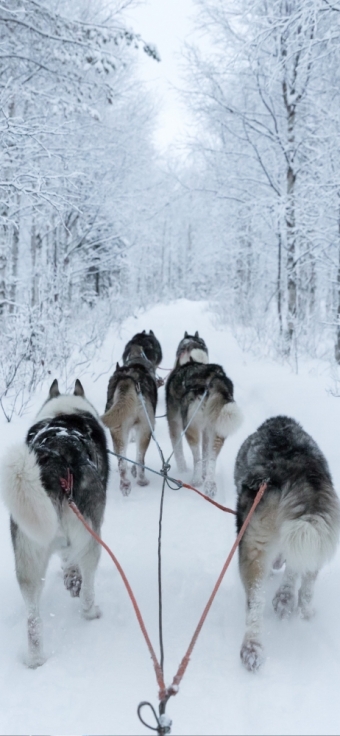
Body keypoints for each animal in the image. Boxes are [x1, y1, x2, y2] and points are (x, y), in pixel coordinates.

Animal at [0, 380, 108, 668]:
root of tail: (56, 459)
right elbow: (71, 561)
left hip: (27, 557)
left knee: (33, 618)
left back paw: (35, 658)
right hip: (91, 539)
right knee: (88, 588)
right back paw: (91, 612)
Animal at [102, 348, 158, 498]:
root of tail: (128, 380)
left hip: (117, 428)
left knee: (122, 461)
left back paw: (125, 484)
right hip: (145, 429)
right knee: (140, 458)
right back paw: (142, 480)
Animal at [167, 336, 242, 498]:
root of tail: (212, 377)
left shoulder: (174, 424)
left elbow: (178, 451)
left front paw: (182, 469)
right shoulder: (207, 430)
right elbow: (206, 455)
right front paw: (204, 474)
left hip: (190, 426)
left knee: (196, 456)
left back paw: (196, 480)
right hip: (217, 428)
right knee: (212, 457)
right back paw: (209, 484)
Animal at [235, 414, 340, 672]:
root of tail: (296, 471)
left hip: (256, 543)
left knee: (256, 601)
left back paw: (253, 646)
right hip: (310, 533)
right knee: (305, 585)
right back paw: (296, 607)